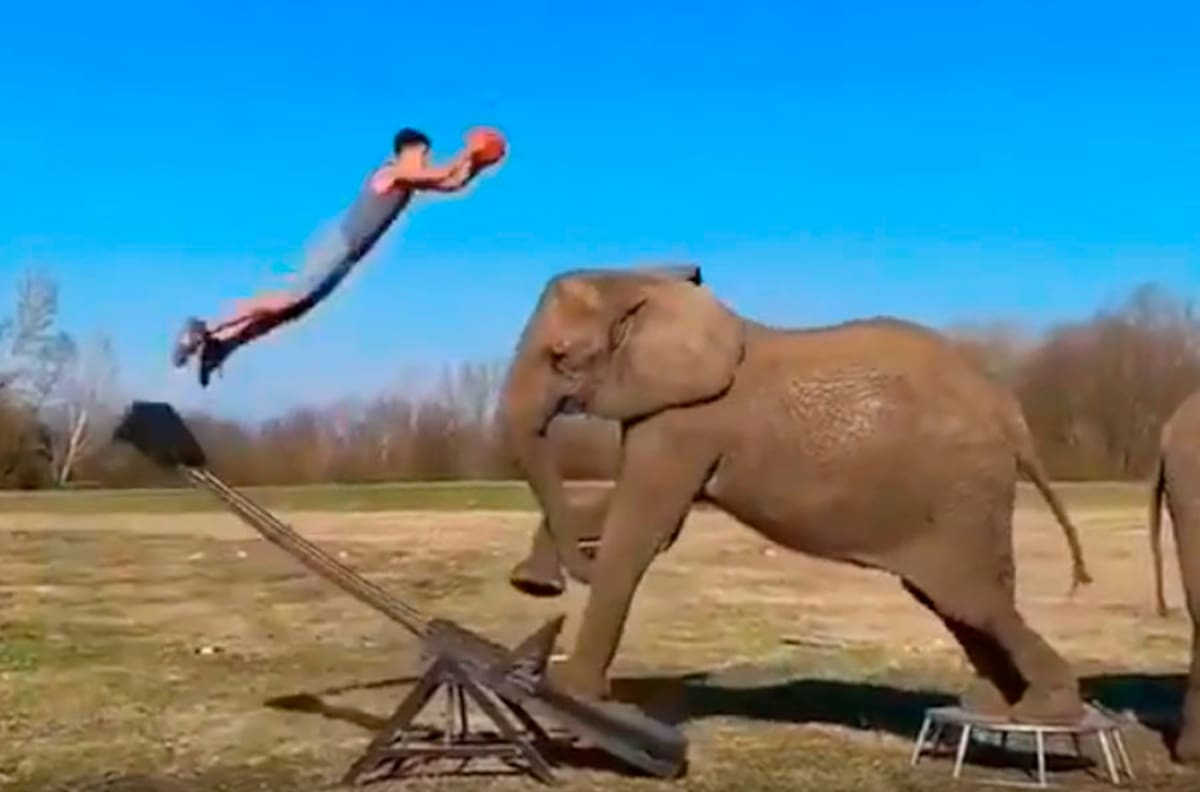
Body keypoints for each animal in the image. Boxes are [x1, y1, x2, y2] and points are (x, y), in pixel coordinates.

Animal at [498, 265, 1094, 724]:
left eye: (560, 357)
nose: (548, 585)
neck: (638, 282)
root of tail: (1011, 414)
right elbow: (642, 514)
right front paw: (534, 582)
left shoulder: (689, 419)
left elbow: (642, 526)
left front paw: (570, 696)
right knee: (956, 601)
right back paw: (991, 707)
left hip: (961, 490)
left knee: (975, 600)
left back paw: (1045, 712)